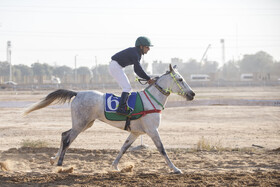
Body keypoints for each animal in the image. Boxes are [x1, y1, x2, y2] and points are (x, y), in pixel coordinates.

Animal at [23, 64, 195, 174]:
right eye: (180, 79)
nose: (192, 94)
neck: (151, 100)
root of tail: (77, 93)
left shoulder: (136, 133)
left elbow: (124, 148)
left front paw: (115, 166)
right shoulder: (152, 131)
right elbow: (162, 149)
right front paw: (175, 169)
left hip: (85, 123)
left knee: (64, 134)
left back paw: (54, 159)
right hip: (80, 124)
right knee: (67, 139)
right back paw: (60, 164)